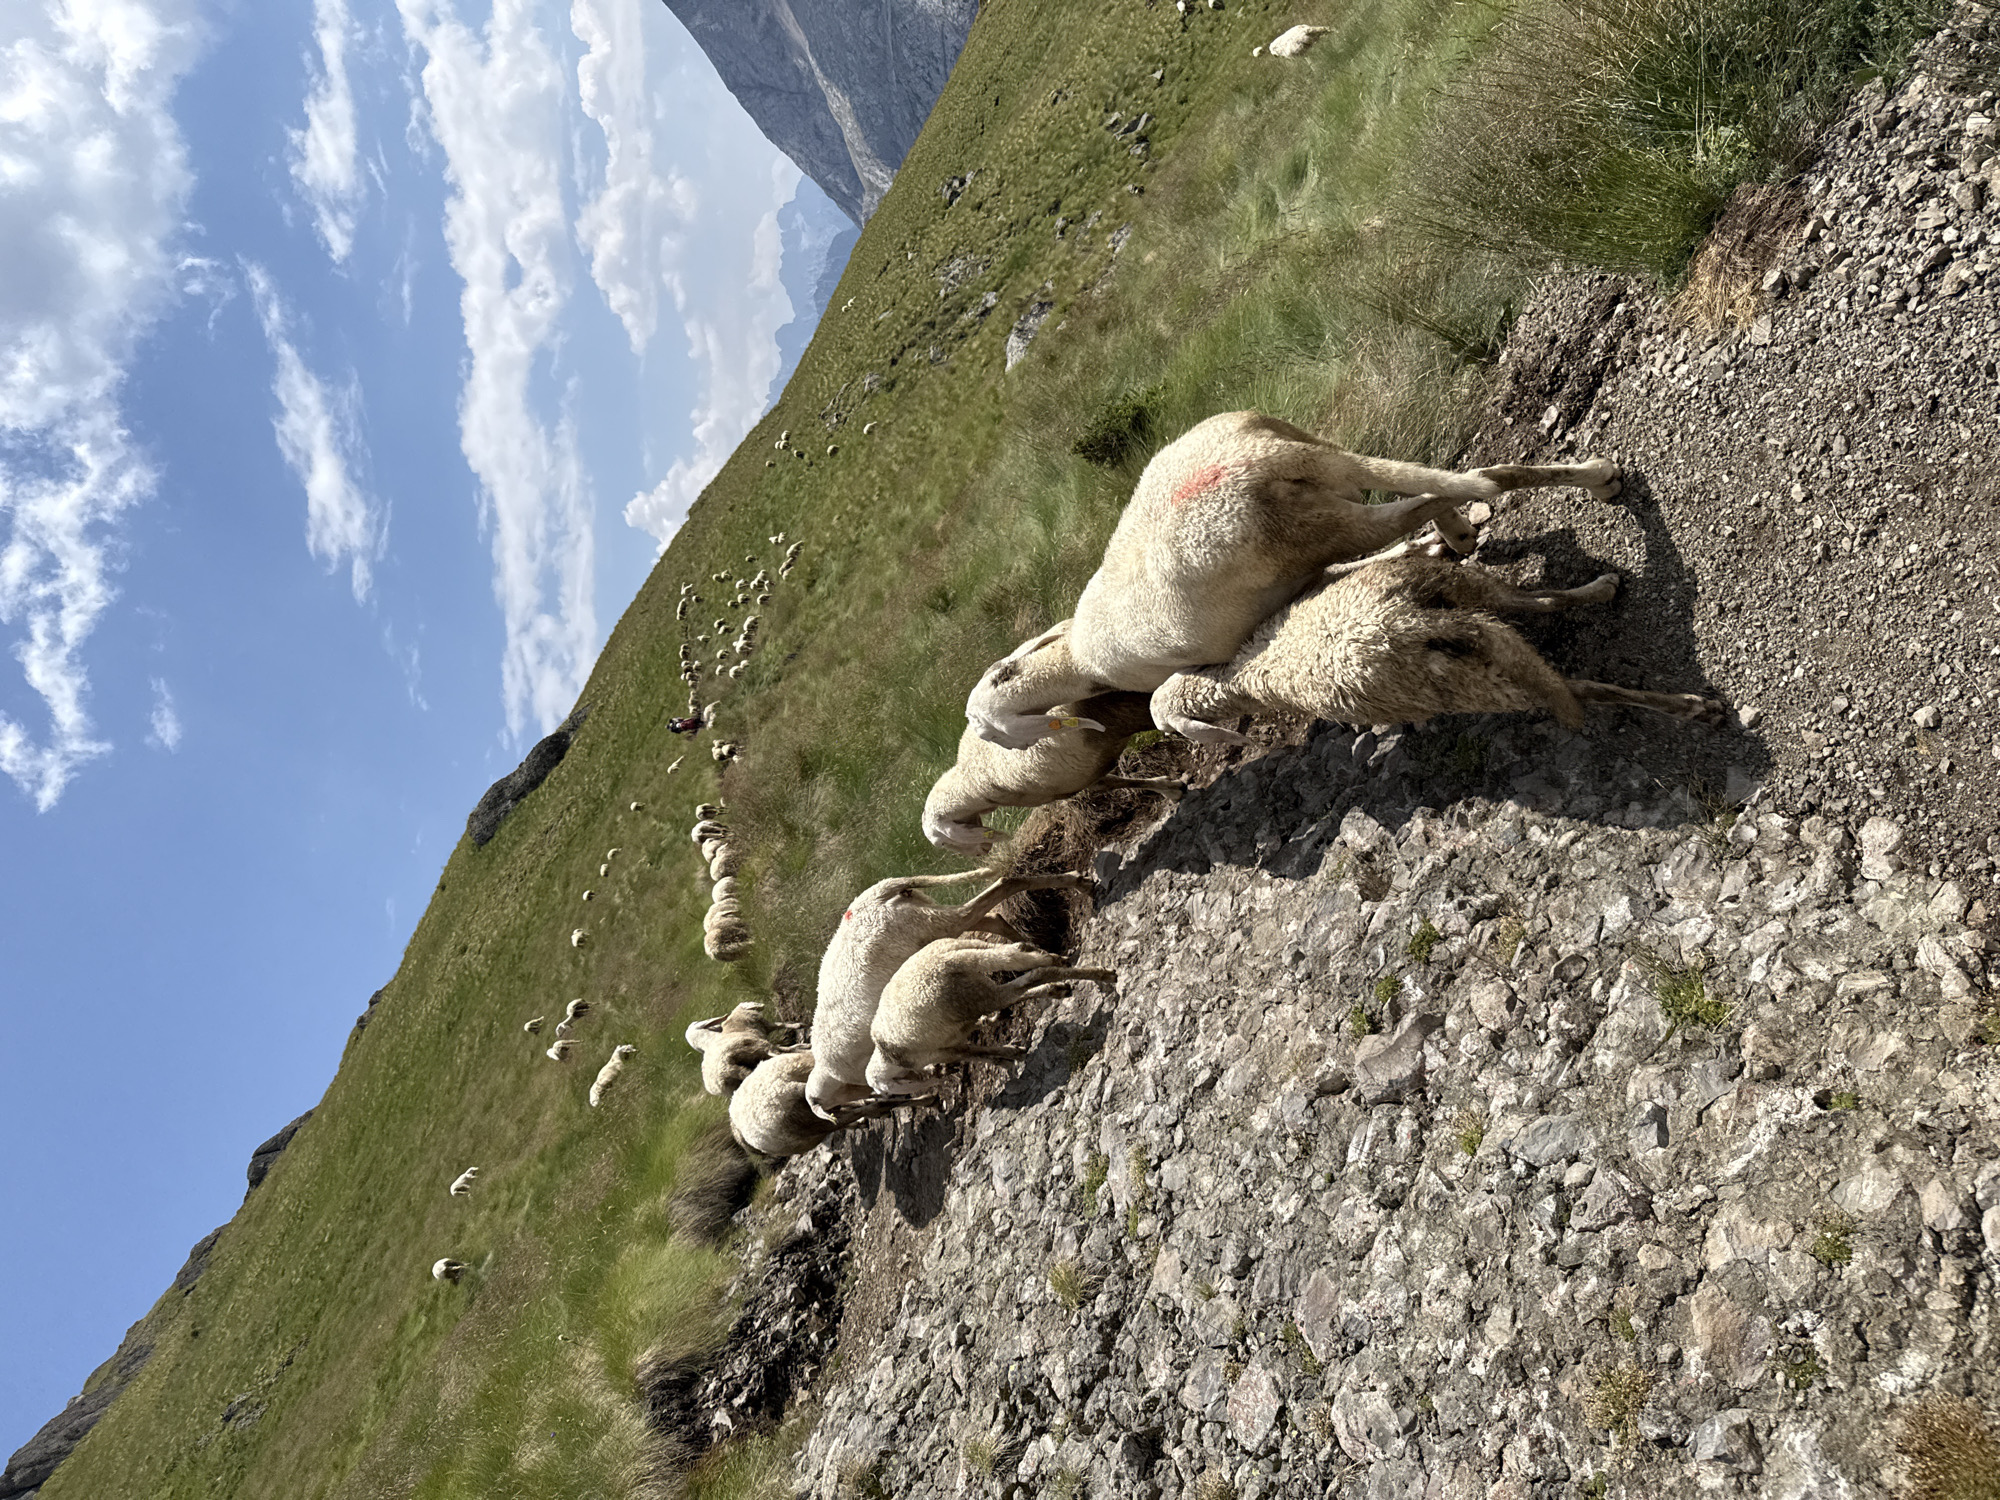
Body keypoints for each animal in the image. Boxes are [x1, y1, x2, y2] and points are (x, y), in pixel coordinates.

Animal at [806, 867, 1091, 1120]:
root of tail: (878, 893)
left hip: (926, 923)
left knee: (997, 891)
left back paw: (1079, 885)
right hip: (926, 917)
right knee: (992, 919)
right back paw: (1039, 945)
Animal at [866, 937, 1118, 1095]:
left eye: (902, 1084)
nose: (942, 1072)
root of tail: (947, 961)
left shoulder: (945, 1050)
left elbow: (978, 1053)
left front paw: (1010, 1056)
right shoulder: (954, 1037)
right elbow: (980, 1047)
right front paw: (1010, 1053)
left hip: (971, 993)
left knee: (1029, 975)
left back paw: (1101, 976)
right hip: (972, 955)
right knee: (1017, 955)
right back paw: (1060, 967)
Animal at [923, 690, 1185, 854]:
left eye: (942, 844)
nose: (981, 854)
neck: (969, 780)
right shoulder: (1084, 775)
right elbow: (1114, 783)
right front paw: (1170, 787)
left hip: (1128, 709)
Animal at [964, 411, 1621, 749]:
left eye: (988, 731)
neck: (1077, 657)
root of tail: (1258, 461)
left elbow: (1159, 701)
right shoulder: (1303, 577)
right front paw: (1434, 547)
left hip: (1309, 525)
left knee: (1460, 485)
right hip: (1325, 474)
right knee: (1457, 481)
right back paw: (1592, 480)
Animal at [1149, 556, 1726, 744]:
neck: (1239, 671)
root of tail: (1400, 625)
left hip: (1458, 668)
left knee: (1576, 686)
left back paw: (1687, 709)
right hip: (1460, 621)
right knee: (1536, 610)